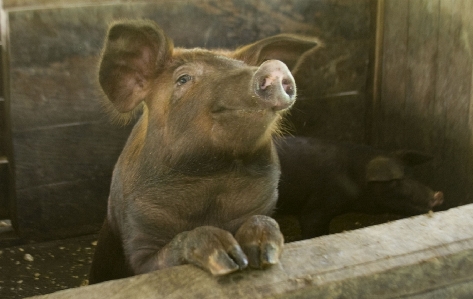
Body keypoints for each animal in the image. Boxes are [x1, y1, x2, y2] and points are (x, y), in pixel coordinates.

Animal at [88, 19, 318, 284]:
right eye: (183, 78)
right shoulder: (137, 237)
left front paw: (263, 253)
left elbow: (264, 219)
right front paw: (228, 259)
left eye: (245, 66)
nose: (274, 66)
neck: (212, 177)